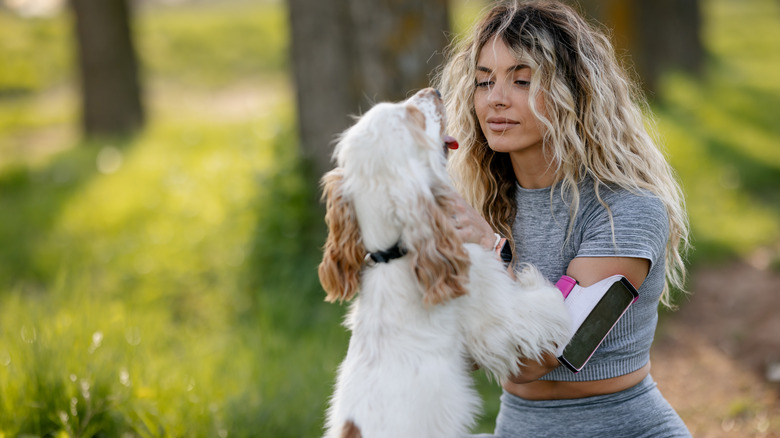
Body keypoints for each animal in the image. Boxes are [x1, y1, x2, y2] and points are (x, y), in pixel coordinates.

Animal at [316, 87, 568, 436]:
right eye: (412, 116)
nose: (432, 91)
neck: (394, 252)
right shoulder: (497, 320)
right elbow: (541, 306)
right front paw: (539, 286)